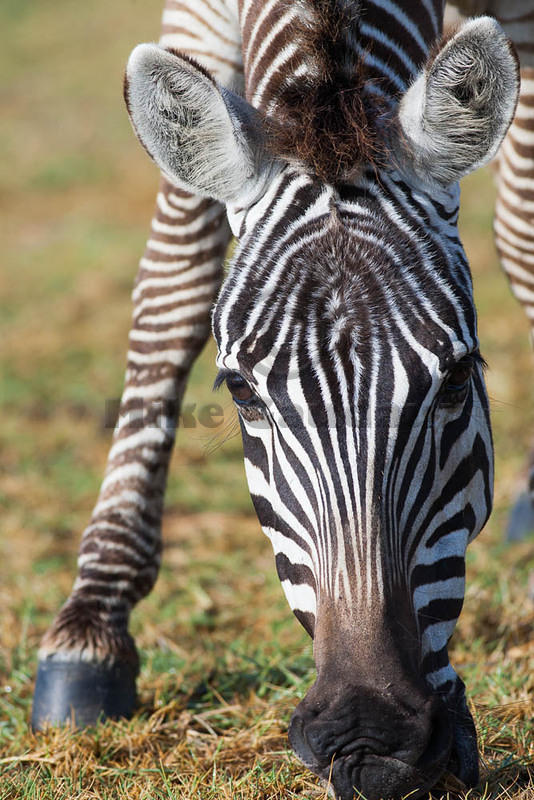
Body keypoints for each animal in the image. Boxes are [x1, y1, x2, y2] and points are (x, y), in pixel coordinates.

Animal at [30, 1, 524, 800]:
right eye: (241, 392)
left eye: (456, 380)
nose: (368, 739)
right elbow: (174, 278)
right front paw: (92, 626)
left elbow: (522, 232)